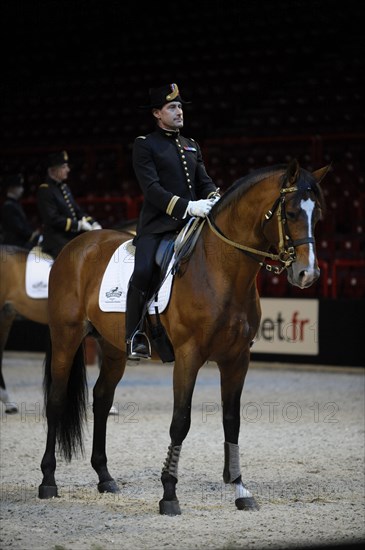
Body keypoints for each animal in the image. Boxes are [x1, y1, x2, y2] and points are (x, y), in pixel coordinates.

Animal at [38, 161, 328, 516]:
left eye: (319, 215)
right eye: (292, 211)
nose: (307, 274)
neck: (222, 270)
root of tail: (75, 247)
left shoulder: (237, 360)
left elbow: (232, 421)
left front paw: (240, 488)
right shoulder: (188, 358)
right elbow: (181, 422)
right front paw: (169, 494)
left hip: (114, 349)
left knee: (102, 399)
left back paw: (105, 477)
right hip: (65, 337)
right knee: (56, 400)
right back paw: (48, 480)